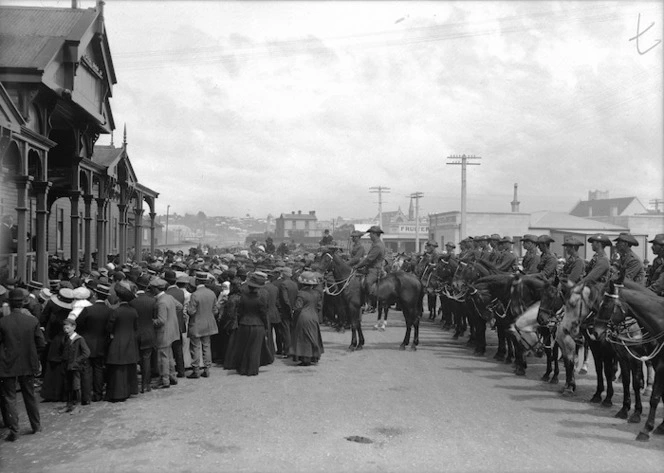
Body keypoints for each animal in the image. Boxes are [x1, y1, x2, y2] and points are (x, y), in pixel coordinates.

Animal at [592, 278, 664, 440]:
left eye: (605, 305)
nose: (595, 332)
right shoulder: (623, 356)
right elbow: (628, 382)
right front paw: (626, 410)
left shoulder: (646, 361)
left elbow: (650, 393)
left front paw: (644, 425)